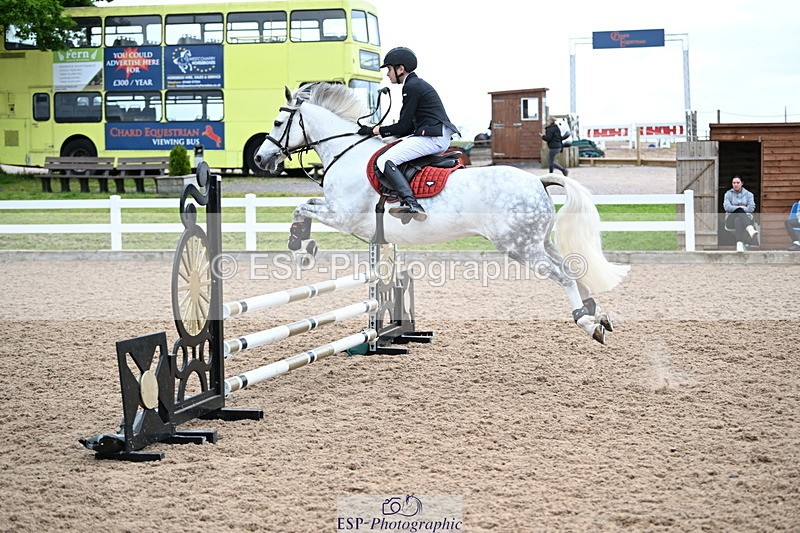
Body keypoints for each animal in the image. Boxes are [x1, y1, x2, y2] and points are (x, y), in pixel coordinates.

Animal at [254, 83, 629, 343]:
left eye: (277, 121)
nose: (259, 158)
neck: (346, 153)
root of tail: (538, 181)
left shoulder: (343, 216)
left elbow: (301, 207)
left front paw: (299, 244)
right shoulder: (345, 217)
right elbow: (304, 207)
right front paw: (303, 244)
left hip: (520, 247)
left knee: (563, 275)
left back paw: (587, 322)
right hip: (538, 242)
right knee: (573, 268)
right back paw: (598, 314)